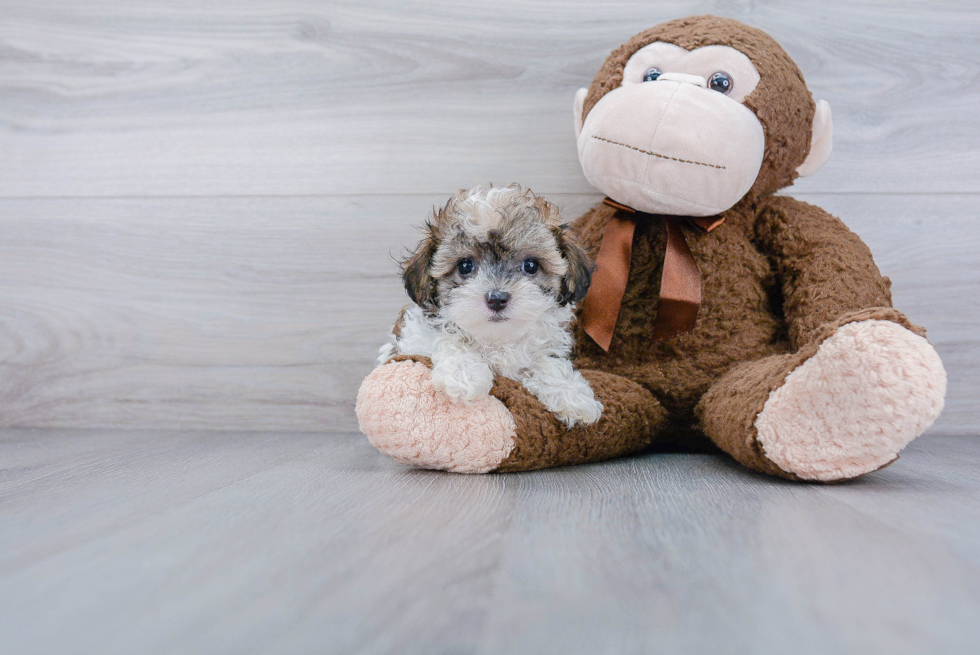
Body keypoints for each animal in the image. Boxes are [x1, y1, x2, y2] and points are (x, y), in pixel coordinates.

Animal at [378, 183, 600, 430]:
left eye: (531, 265)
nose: (497, 298)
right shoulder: (414, 339)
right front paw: (464, 375)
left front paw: (571, 395)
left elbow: (548, 362)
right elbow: (446, 338)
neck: (495, 337)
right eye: (465, 266)